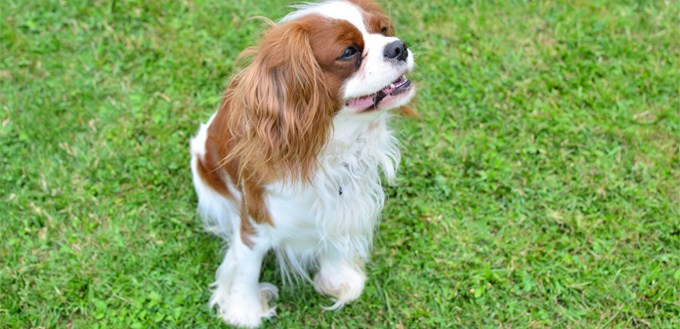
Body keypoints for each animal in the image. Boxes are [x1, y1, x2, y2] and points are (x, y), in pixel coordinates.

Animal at [189, 0, 418, 326]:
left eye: (384, 30)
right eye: (348, 52)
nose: (398, 47)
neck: (333, 147)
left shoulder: (344, 204)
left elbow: (335, 236)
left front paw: (338, 280)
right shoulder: (255, 219)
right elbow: (246, 265)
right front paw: (244, 311)